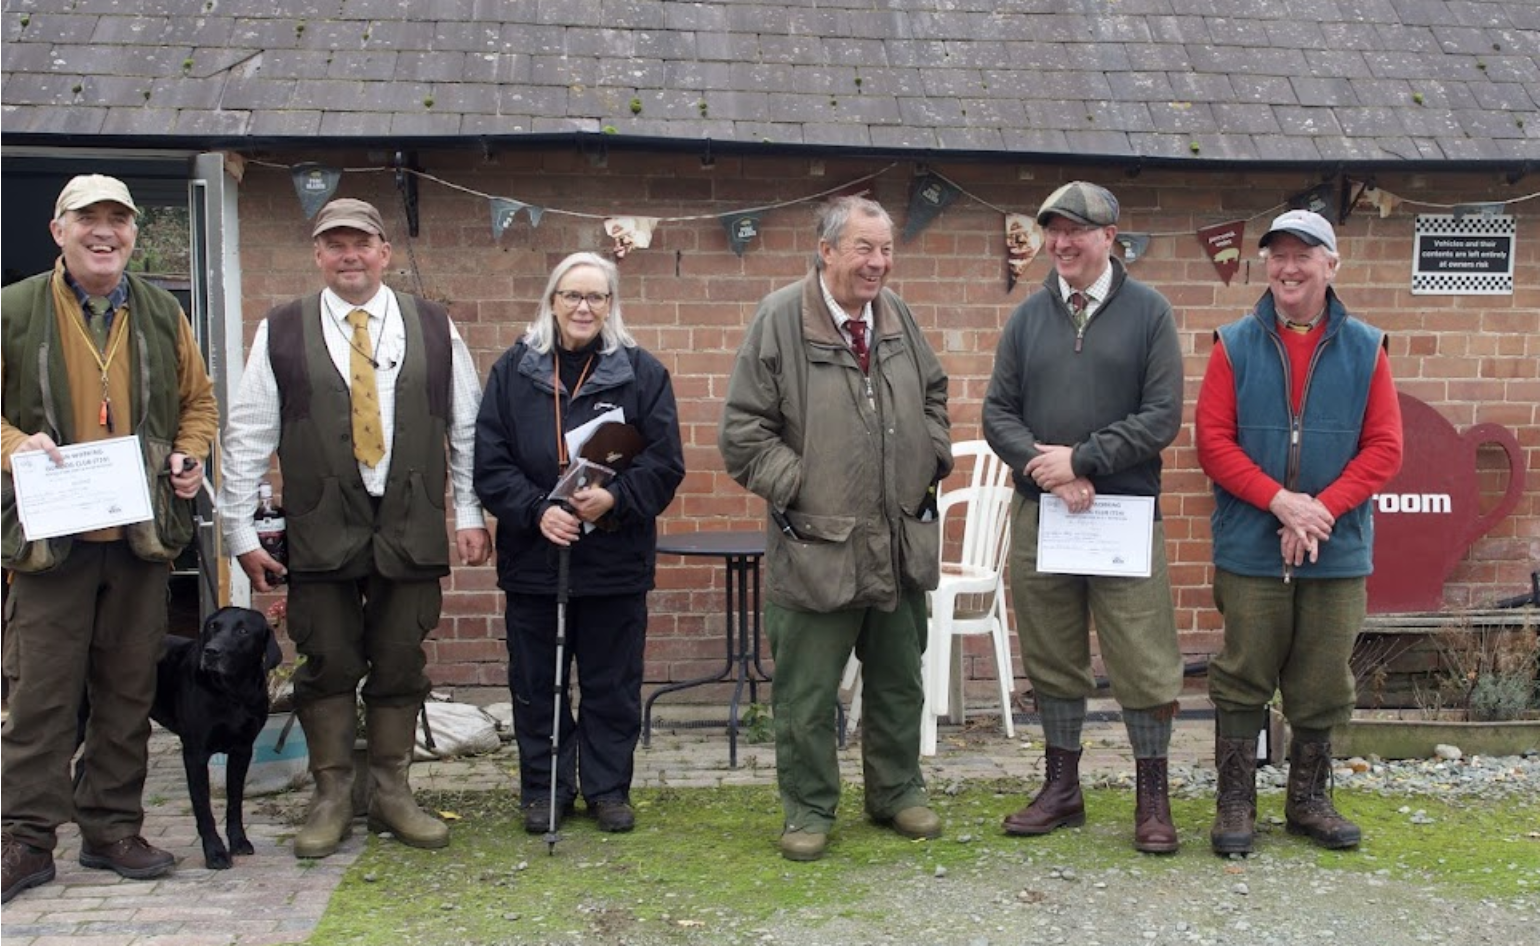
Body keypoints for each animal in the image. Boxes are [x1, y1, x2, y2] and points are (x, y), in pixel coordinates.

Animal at [151, 606, 284, 867]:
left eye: (243, 631)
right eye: (213, 626)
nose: (211, 652)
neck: (232, 692)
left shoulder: (242, 751)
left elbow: (235, 801)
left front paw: (239, 842)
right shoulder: (195, 754)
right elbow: (203, 808)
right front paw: (215, 852)